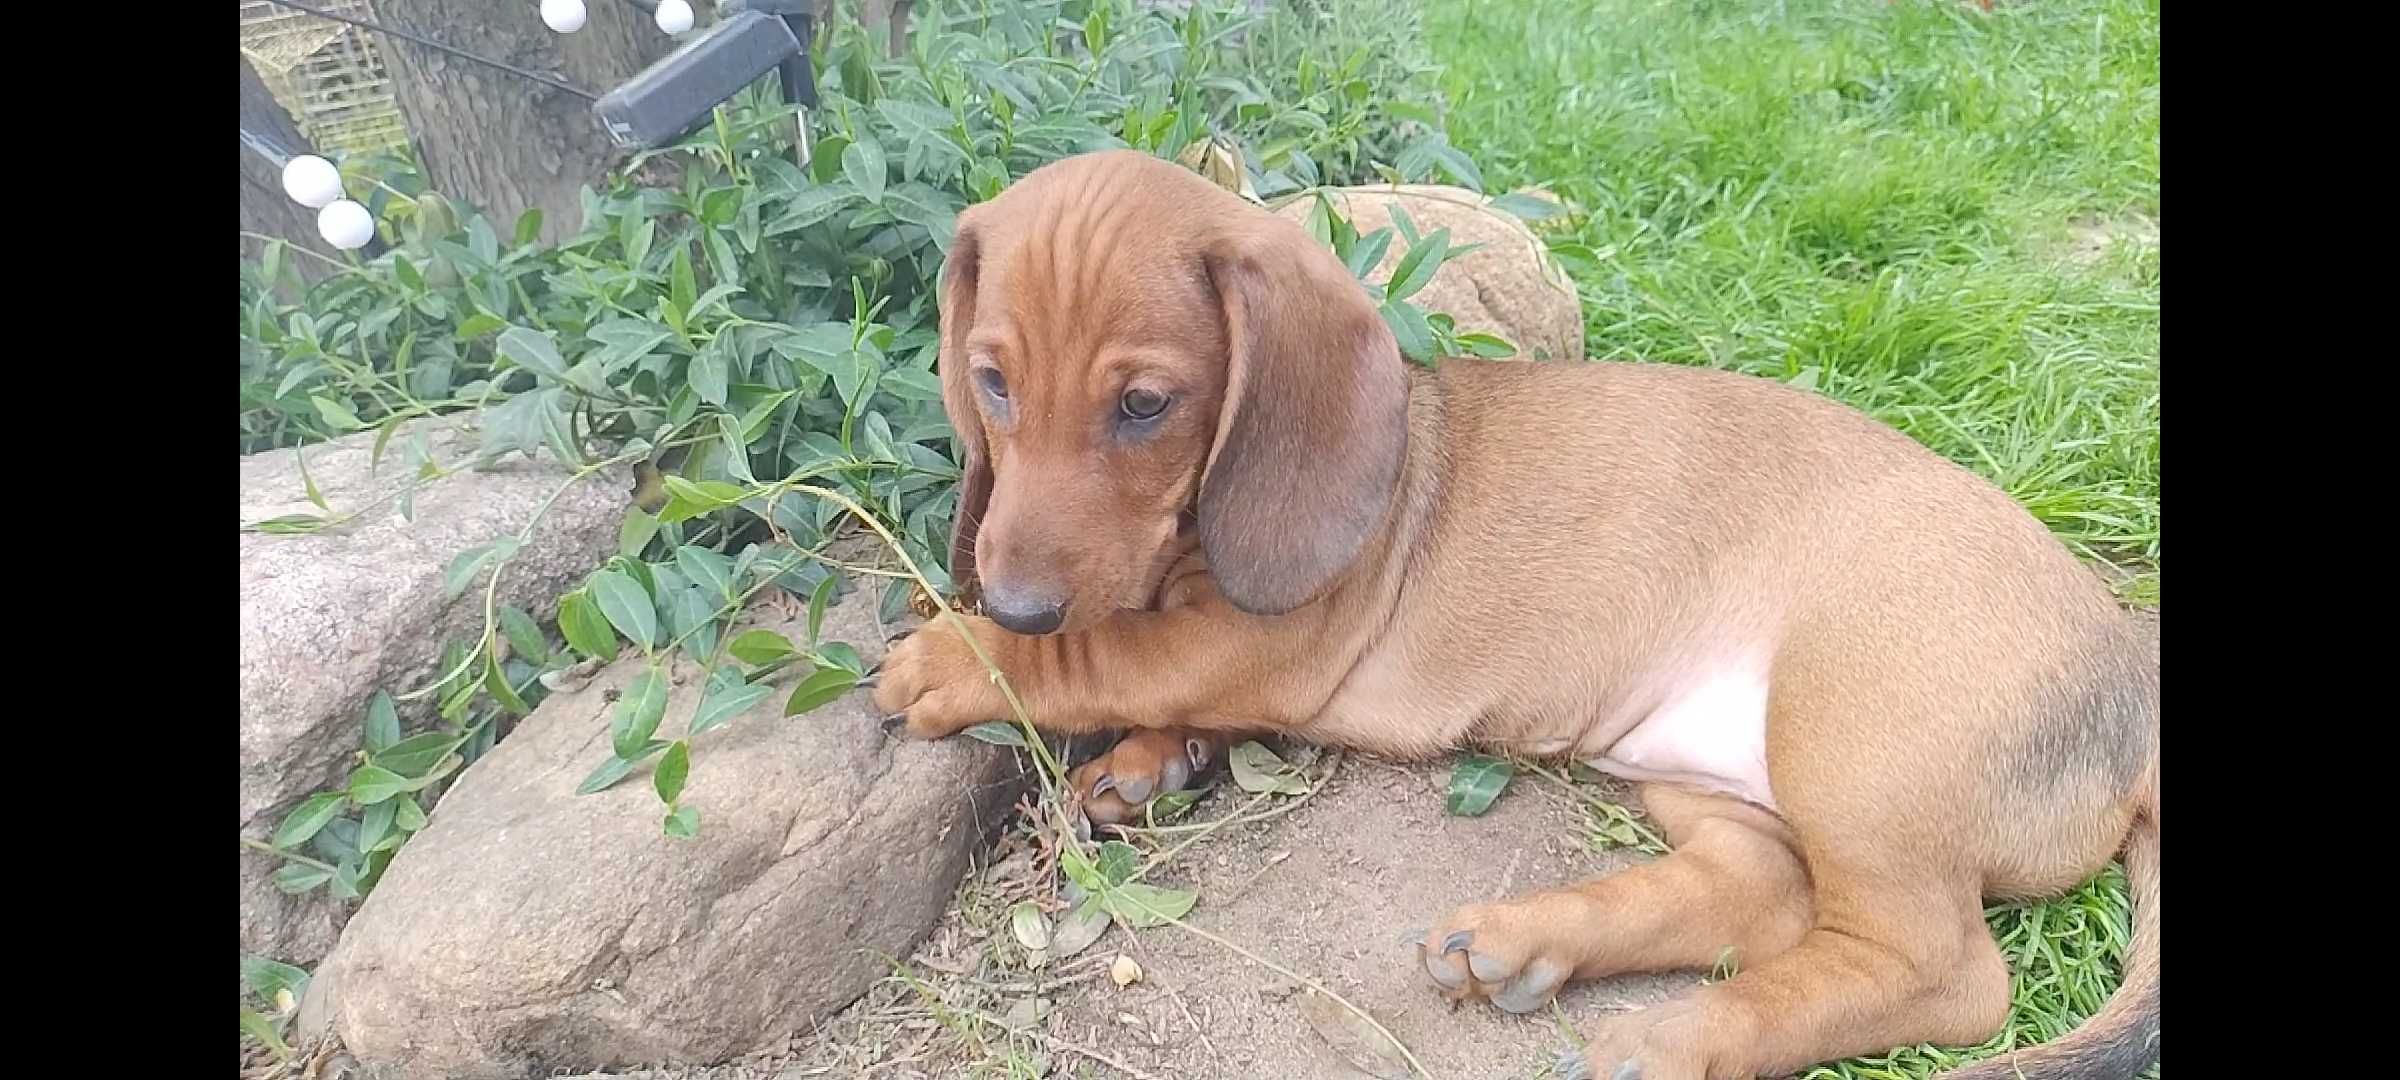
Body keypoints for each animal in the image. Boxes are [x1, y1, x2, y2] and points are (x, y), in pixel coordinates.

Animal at [878, 150, 2160, 1080]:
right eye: (991, 382)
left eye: (1145, 405)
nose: (1011, 601)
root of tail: (2133, 693)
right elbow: (1150, 675)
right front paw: (1153, 761)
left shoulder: (1256, 639)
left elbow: (1109, 651)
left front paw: (955, 656)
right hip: (1706, 771)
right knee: (1768, 891)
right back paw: (1531, 945)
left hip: (1853, 742)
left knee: (1944, 975)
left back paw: (1676, 1036)